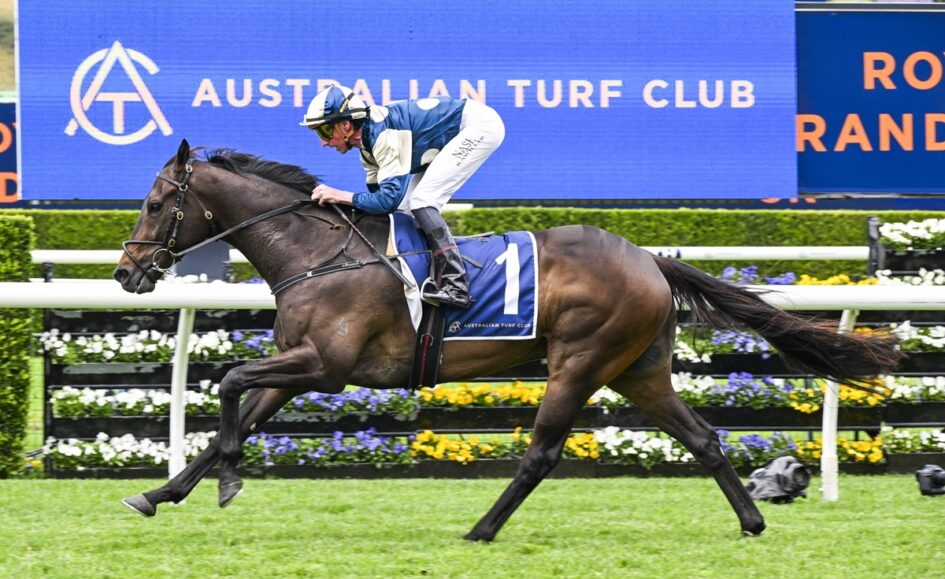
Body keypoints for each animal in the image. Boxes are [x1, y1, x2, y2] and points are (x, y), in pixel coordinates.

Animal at [113, 139, 902, 541]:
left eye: (154, 204)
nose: (125, 272)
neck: (318, 251)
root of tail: (649, 258)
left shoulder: (324, 365)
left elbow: (228, 384)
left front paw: (226, 480)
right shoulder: (300, 364)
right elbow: (236, 414)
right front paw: (161, 492)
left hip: (580, 360)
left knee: (541, 454)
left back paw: (480, 529)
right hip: (638, 369)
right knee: (703, 438)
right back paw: (750, 520)